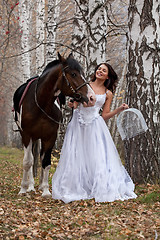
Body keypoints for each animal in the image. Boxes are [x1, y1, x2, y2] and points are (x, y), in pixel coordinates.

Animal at [13, 53, 95, 197]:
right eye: (73, 74)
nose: (91, 97)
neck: (40, 104)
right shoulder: (26, 135)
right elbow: (27, 162)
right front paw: (23, 189)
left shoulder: (50, 136)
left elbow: (46, 162)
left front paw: (45, 190)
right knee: (31, 159)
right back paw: (30, 186)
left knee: (40, 157)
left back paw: (39, 185)